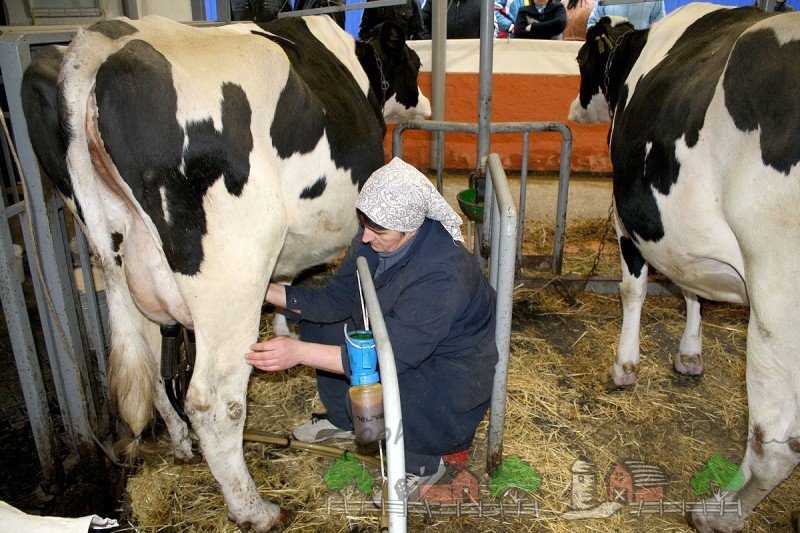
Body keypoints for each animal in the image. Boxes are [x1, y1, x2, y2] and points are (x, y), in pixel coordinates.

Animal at [21, 14, 428, 528]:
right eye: (415, 62)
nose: (425, 102)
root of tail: (102, 41)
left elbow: (286, 284)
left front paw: (285, 329)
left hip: (121, 257)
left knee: (152, 368)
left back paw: (181, 446)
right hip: (232, 266)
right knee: (214, 400)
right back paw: (254, 508)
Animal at [568, 4, 800, 532]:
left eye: (580, 60)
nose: (574, 109)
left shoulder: (631, 218)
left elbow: (633, 290)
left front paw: (624, 366)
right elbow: (693, 288)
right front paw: (690, 352)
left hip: (778, 308)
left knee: (773, 445)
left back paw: (719, 512)